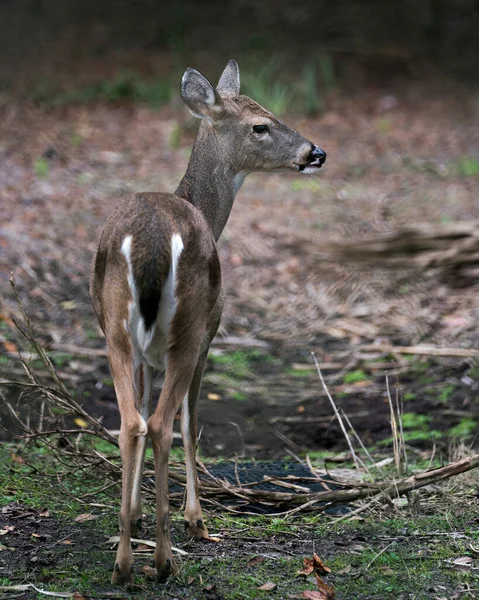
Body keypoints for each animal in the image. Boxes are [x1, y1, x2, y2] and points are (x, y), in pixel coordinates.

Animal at [90, 58, 328, 584]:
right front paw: (195, 520)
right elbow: (191, 420)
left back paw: (123, 564)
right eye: (260, 125)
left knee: (130, 422)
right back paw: (163, 561)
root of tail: (152, 238)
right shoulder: (208, 336)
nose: (315, 152)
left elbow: (141, 407)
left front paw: (136, 512)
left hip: (115, 329)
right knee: (162, 424)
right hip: (189, 326)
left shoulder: (145, 354)